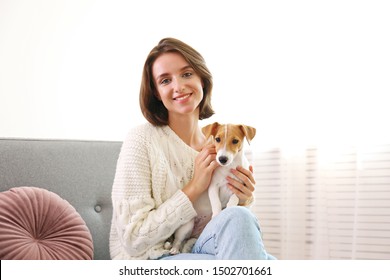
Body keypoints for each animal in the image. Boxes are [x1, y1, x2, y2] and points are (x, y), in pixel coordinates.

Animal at [167, 121, 256, 255]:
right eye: (217, 139)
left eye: (235, 141)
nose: (222, 159)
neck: (228, 168)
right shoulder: (213, 187)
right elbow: (216, 203)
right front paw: (217, 215)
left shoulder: (240, 186)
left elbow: (234, 198)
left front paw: (230, 206)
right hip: (187, 226)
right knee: (178, 240)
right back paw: (174, 249)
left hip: (194, 238)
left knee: (187, 244)